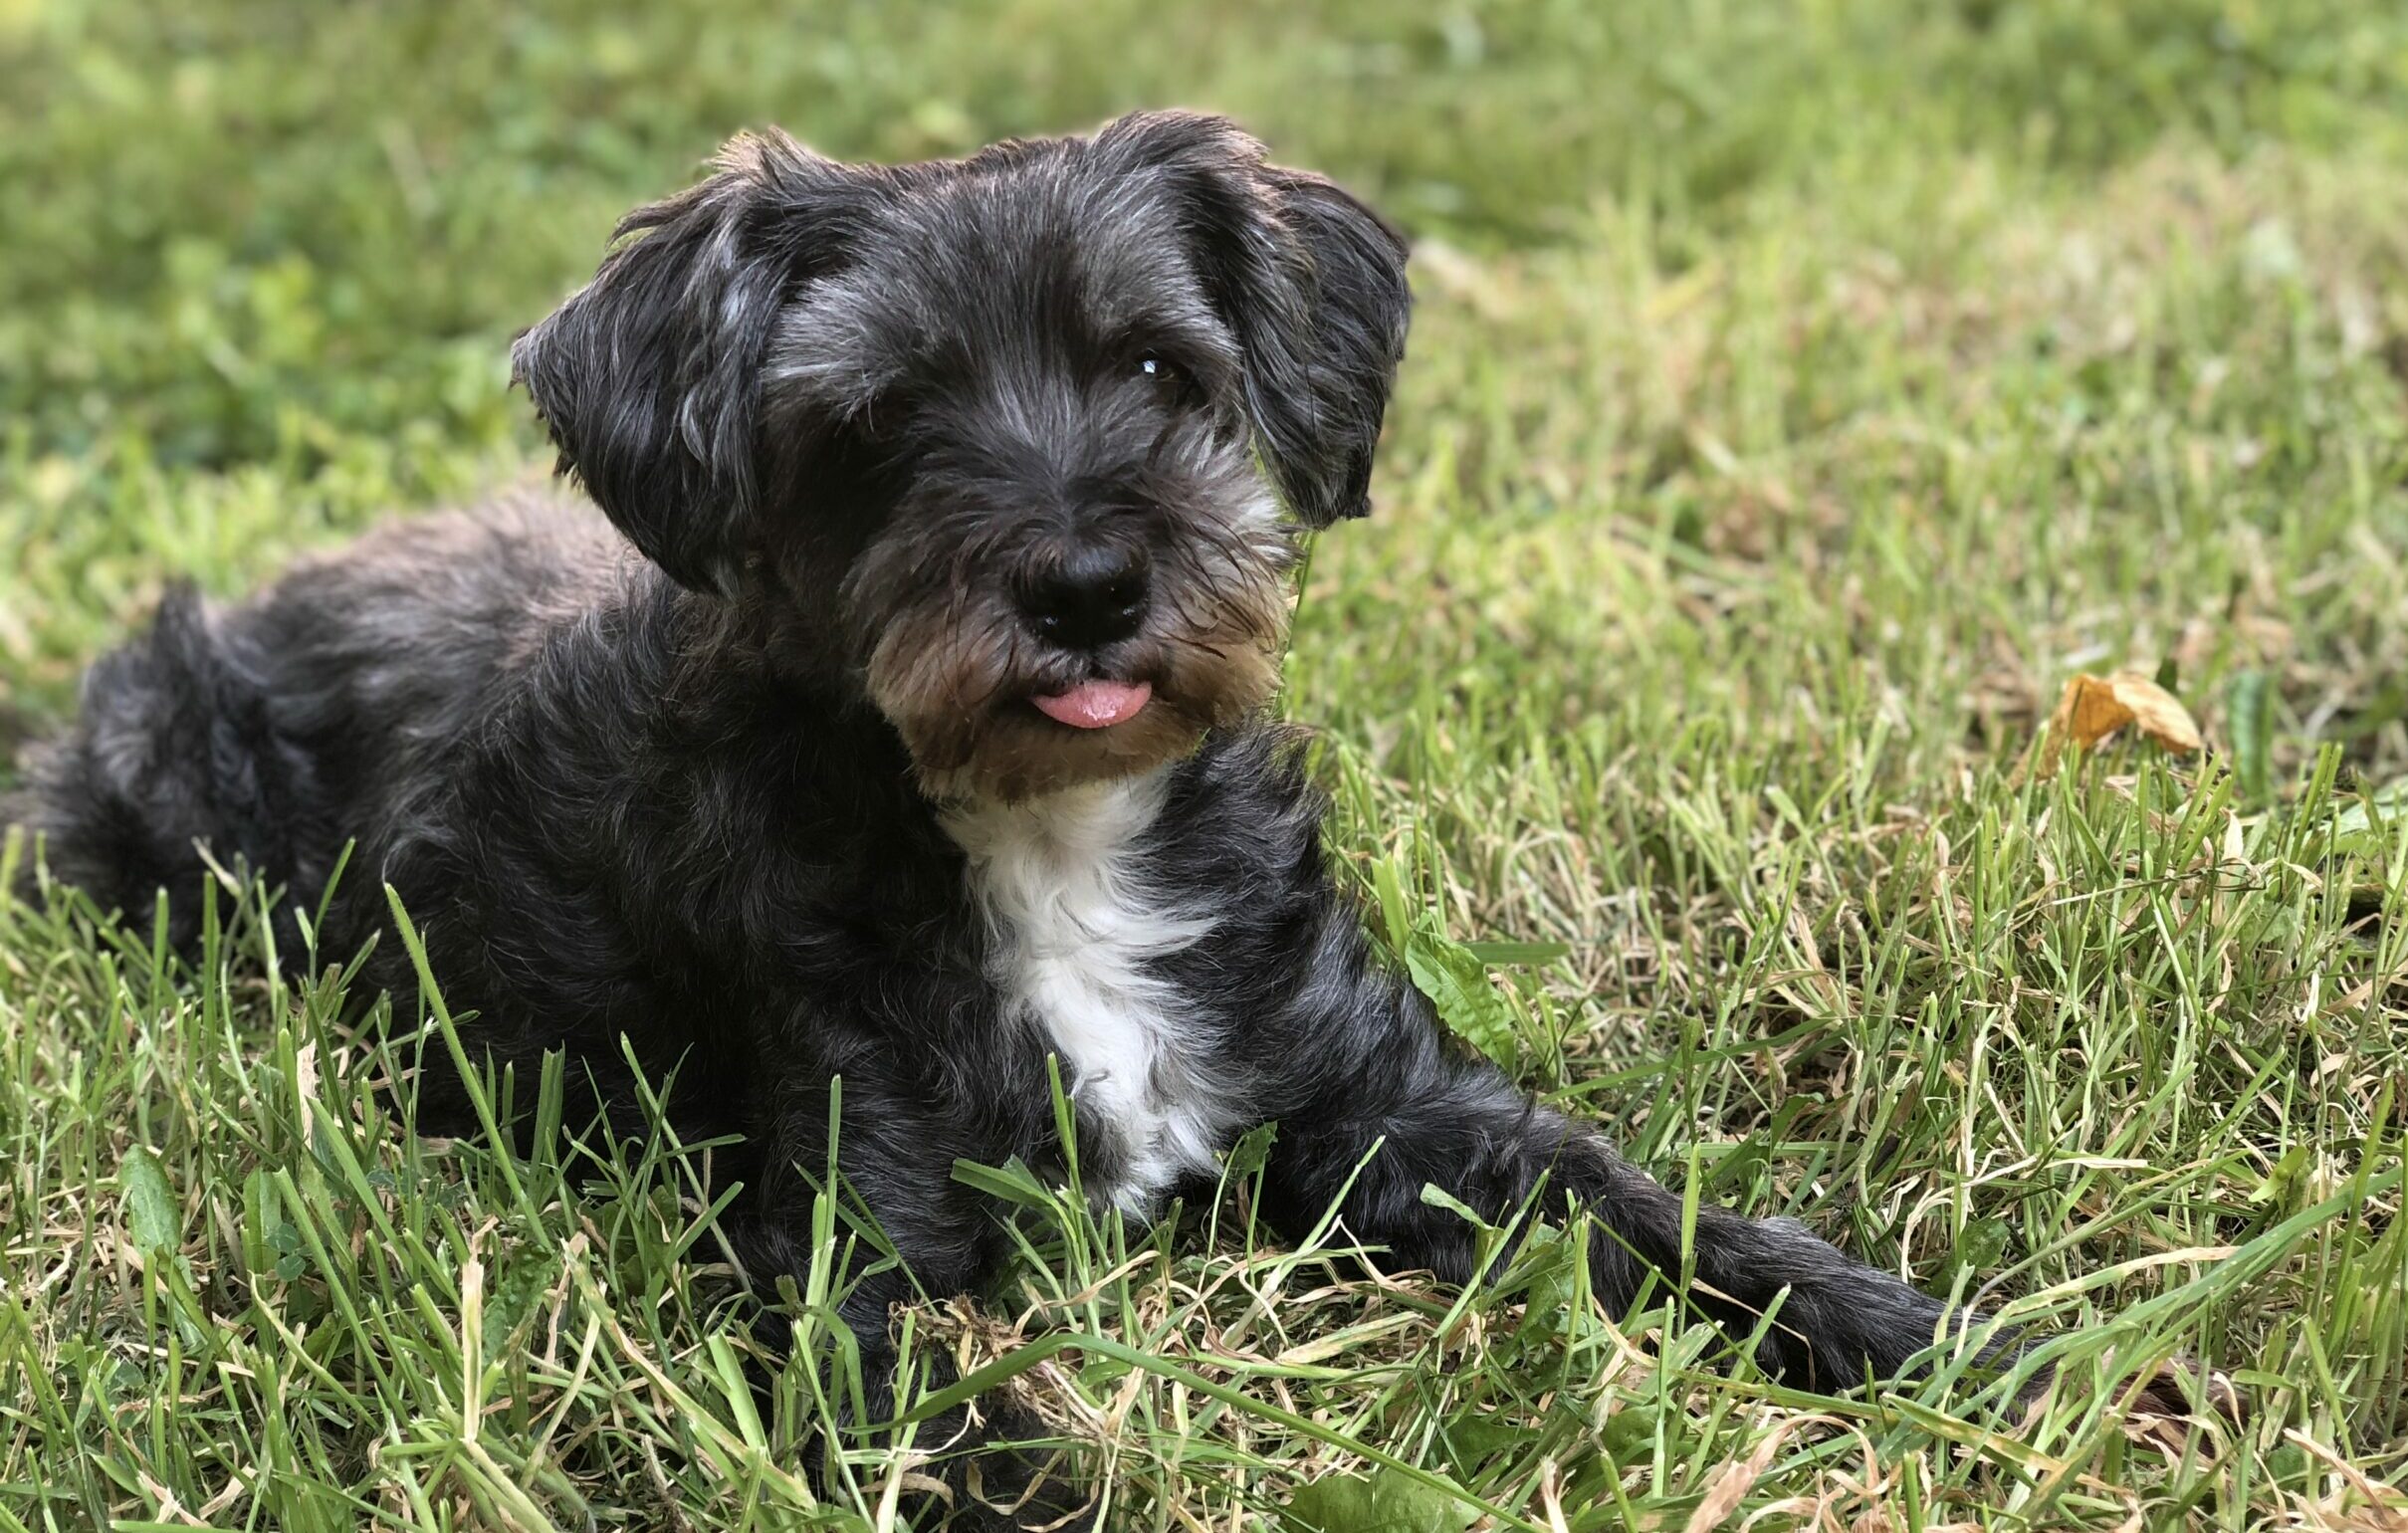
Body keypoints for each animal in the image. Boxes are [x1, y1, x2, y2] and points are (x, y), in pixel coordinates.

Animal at [9, 113, 2071, 1520]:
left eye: (1156, 368)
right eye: (878, 419)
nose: (1083, 587)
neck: (1051, 839)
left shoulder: (1407, 1115)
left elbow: (1681, 1218)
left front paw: (1969, 1349)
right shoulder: (849, 1263)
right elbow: (973, 1448)